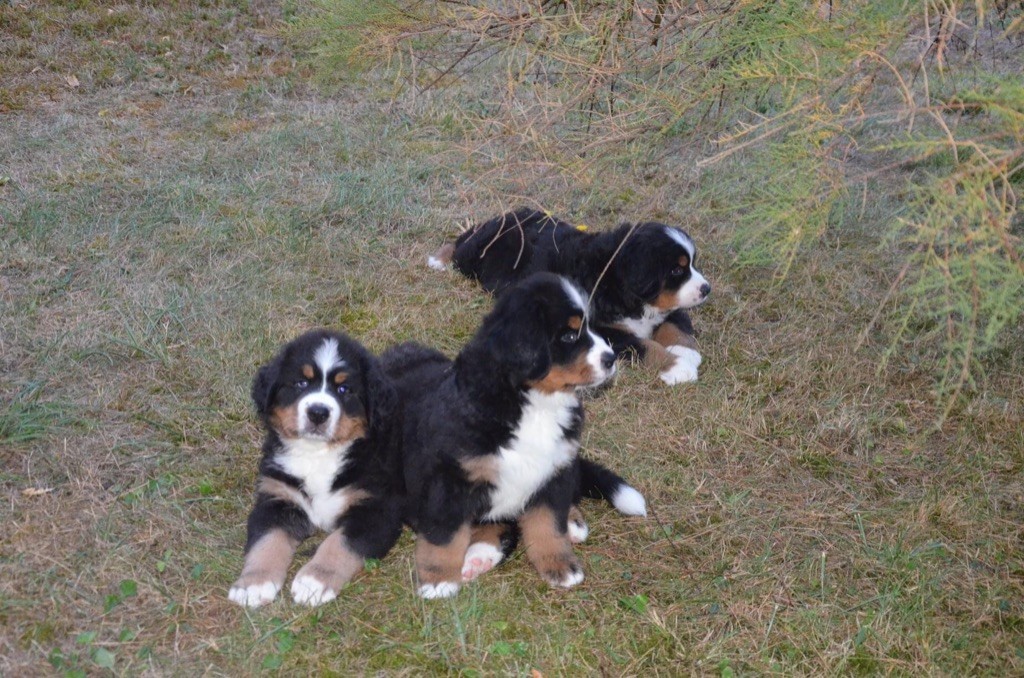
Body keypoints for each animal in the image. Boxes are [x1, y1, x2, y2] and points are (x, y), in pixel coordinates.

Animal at [229, 329, 403, 610]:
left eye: (344, 389)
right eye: (301, 383)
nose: (318, 413)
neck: (317, 454)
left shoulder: (377, 510)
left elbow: (338, 543)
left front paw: (314, 582)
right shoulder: (277, 499)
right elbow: (266, 542)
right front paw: (253, 584)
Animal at [380, 272, 643, 602]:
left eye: (592, 328)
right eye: (569, 337)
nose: (611, 359)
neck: (535, 403)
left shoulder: (553, 470)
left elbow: (548, 524)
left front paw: (559, 565)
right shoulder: (451, 481)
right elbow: (445, 535)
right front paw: (438, 580)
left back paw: (569, 523)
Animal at [430, 206, 712, 387]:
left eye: (691, 264)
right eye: (676, 270)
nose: (706, 289)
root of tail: (505, 216)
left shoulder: (670, 306)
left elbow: (677, 326)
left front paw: (686, 353)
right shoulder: (603, 329)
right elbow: (643, 345)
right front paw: (677, 366)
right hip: (476, 256)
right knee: (460, 246)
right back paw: (438, 259)